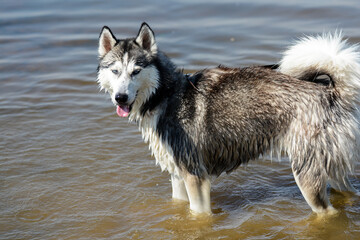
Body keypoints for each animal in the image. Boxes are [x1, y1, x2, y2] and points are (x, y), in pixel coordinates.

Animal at [97, 22, 358, 214]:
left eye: (136, 71)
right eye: (115, 71)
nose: (120, 98)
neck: (165, 96)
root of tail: (330, 92)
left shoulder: (195, 177)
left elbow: (198, 216)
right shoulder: (178, 176)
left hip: (307, 176)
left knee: (329, 213)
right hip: (332, 170)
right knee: (348, 192)